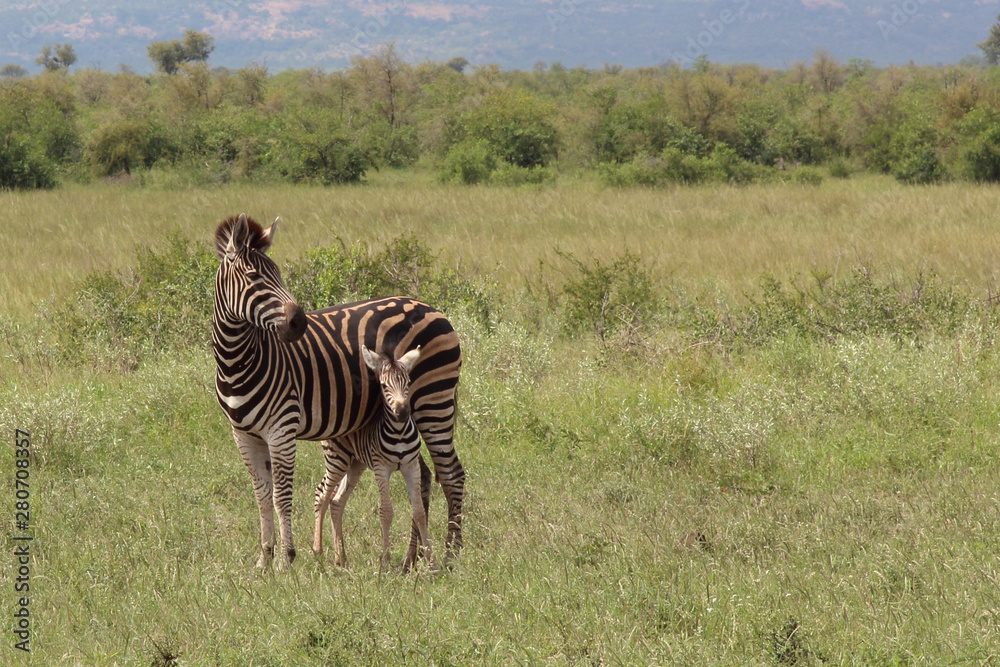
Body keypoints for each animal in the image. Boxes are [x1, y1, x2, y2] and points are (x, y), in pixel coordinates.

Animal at [312, 344, 436, 571]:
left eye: (408, 383)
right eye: (384, 385)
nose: (402, 412)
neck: (399, 432)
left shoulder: (410, 466)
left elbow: (419, 512)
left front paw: (432, 561)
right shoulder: (382, 468)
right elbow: (386, 512)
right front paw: (385, 562)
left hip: (355, 464)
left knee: (336, 501)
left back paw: (341, 559)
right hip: (337, 459)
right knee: (322, 496)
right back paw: (318, 551)